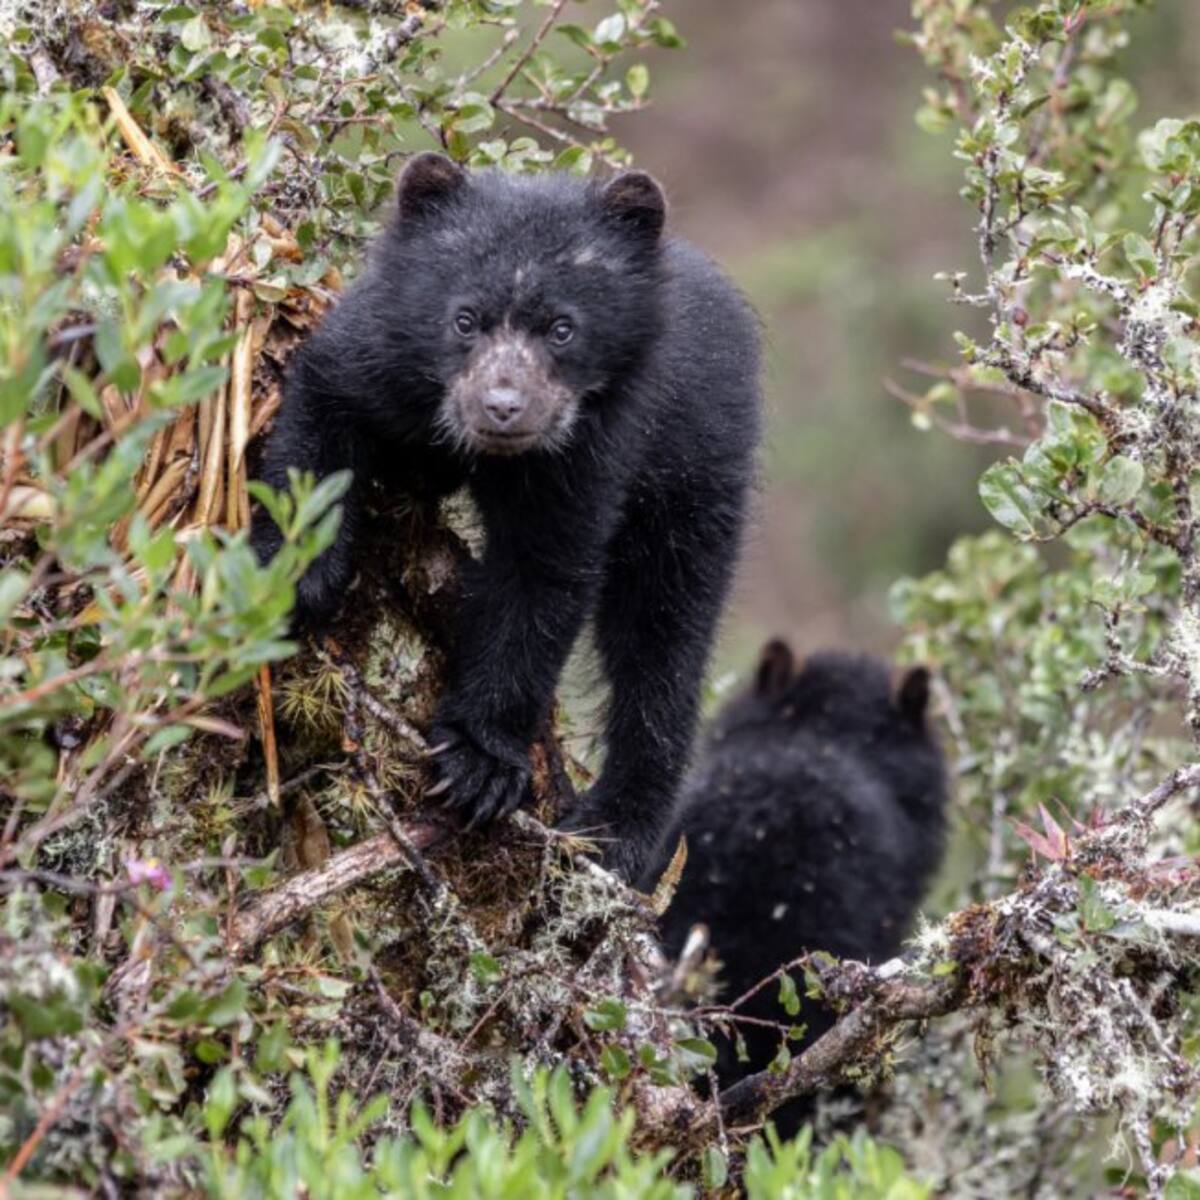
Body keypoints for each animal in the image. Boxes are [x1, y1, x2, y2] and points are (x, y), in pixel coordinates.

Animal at [252, 153, 763, 881]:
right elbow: (320, 416)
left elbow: (541, 577)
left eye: (562, 327)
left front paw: (478, 765)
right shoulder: (378, 352)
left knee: (664, 637)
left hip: (696, 472)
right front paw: (297, 576)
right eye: (465, 319)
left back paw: (618, 831)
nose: (502, 407)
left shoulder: (591, 451)